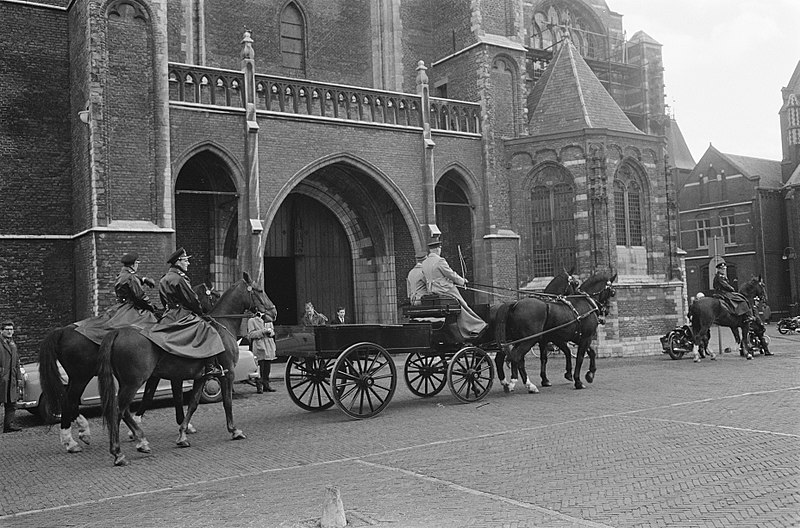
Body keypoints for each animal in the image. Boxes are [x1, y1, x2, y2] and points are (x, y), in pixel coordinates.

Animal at [37, 282, 219, 452]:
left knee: (69, 401)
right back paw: (71, 441)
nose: (207, 315)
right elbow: (172, 398)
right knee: (69, 401)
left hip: (79, 377)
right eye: (213, 295)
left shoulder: (156, 375)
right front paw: (181, 427)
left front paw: (135, 430)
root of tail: (62, 331)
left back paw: (82, 432)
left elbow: (148, 396)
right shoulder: (171, 375)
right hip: (81, 377)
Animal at [95, 274, 272, 464]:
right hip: (133, 382)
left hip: (127, 383)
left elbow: (192, 404)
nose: (273, 312)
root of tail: (118, 332)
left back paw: (140, 441)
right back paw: (119, 452)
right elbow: (227, 402)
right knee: (118, 411)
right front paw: (234, 430)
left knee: (124, 410)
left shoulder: (201, 377)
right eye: (260, 290)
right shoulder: (228, 373)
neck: (223, 325)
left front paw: (182, 435)